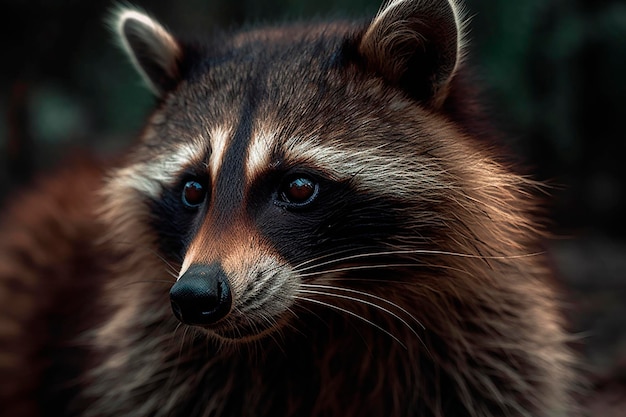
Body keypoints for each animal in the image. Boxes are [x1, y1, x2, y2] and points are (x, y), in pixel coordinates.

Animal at [0, 0, 576, 416]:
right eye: (193, 190)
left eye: (298, 188)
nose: (195, 296)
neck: (317, 326)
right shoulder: (155, 367)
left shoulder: (487, 348)